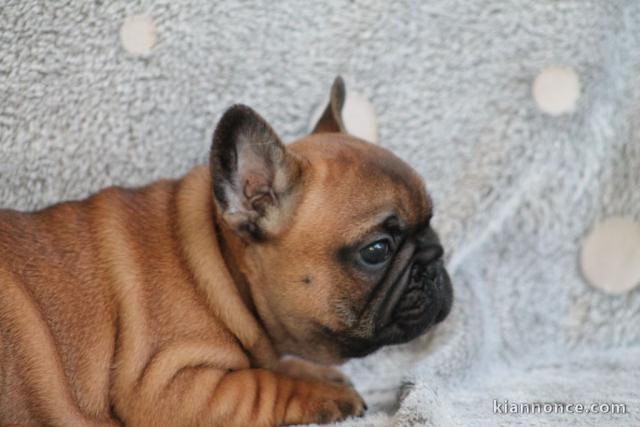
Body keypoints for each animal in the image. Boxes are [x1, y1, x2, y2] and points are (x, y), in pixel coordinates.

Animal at [0, 78, 452, 426]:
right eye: (377, 250)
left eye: (431, 222)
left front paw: (316, 373)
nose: (435, 260)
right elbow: (262, 384)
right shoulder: (168, 385)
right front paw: (323, 391)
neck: (218, 265)